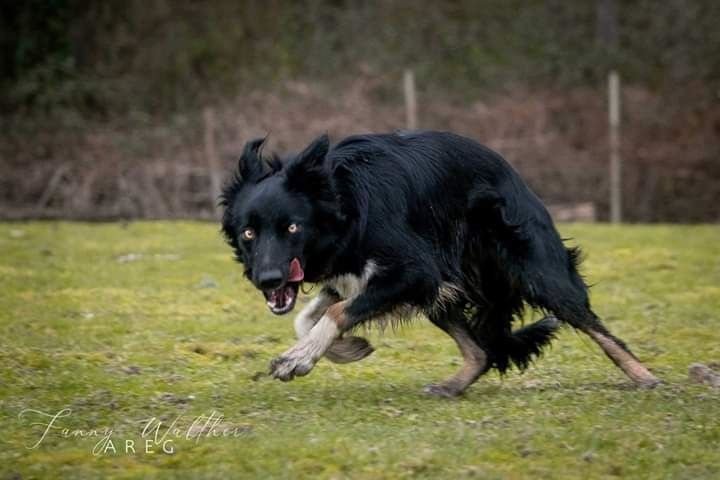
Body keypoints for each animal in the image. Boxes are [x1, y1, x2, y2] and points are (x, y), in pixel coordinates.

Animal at [219, 131, 660, 398]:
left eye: (292, 227)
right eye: (248, 233)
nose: (267, 279)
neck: (344, 202)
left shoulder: (415, 271)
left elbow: (337, 312)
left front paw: (298, 359)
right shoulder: (356, 276)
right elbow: (309, 316)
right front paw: (344, 349)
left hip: (535, 271)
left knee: (595, 325)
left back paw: (645, 377)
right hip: (442, 294)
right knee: (481, 352)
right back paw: (452, 386)